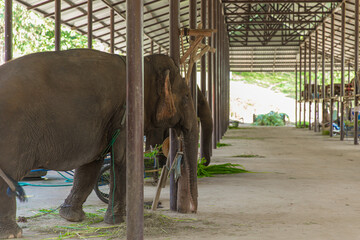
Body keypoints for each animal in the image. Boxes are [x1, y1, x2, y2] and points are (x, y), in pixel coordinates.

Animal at [0, 49, 200, 238]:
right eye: (186, 96)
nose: (193, 210)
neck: (142, 65)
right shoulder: (124, 115)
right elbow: (122, 159)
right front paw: (117, 221)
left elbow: (92, 162)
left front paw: (71, 217)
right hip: (13, 132)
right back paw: (12, 233)